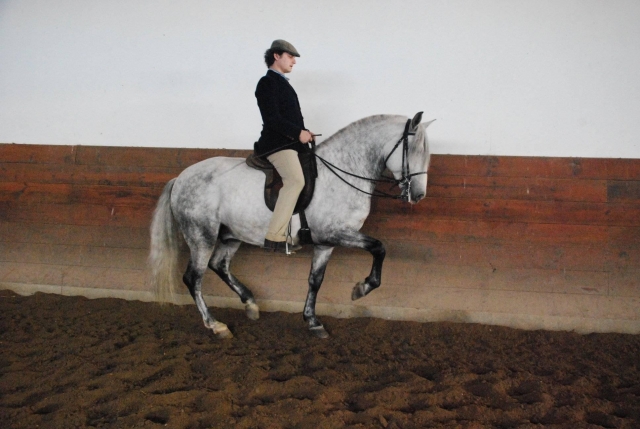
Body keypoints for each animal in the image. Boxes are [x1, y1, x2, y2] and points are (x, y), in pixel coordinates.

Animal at [148, 112, 433, 339]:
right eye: (415, 150)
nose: (418, 195)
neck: (344, 171)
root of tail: (181, 177)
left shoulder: (325, 243)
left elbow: (315, 280)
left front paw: (313, 321)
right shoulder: (337, 233)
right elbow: (378, 247)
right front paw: (361, 289)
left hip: (231, 235)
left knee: (219, 265)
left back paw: (250, 304)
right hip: (201, 236)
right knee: (193, 278)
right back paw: (216, 325)